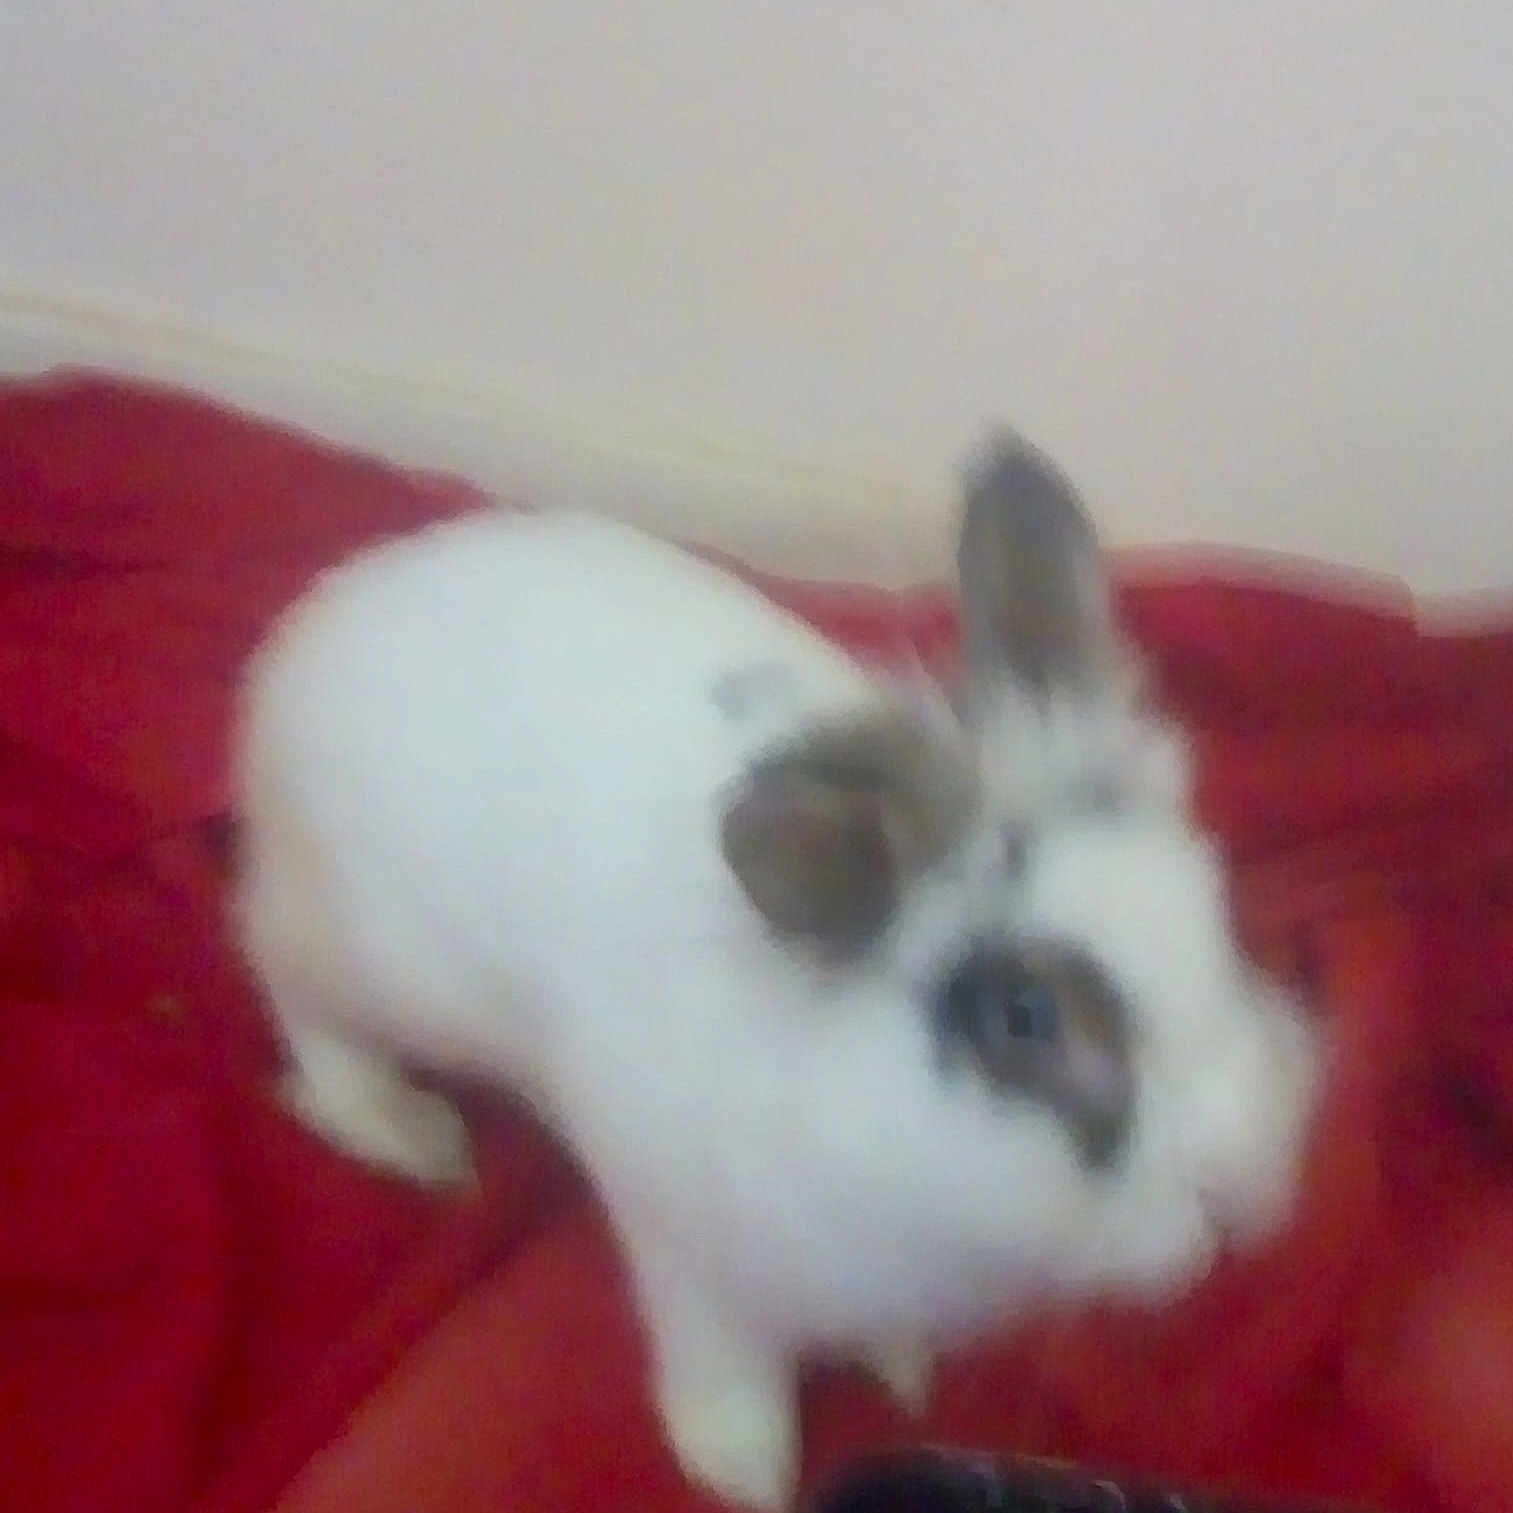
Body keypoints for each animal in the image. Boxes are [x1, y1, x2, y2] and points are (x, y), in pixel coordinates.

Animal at [230, 430, 1321, 1511]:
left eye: (1213, 912)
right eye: (1024, 1017)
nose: (1237, 1181)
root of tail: (296, 654)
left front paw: (902, 1368)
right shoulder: (691, 1255)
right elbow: (725, 1366)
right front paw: (743, 1471)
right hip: (371, 957)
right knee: (281, 968)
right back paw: (403, 1129)